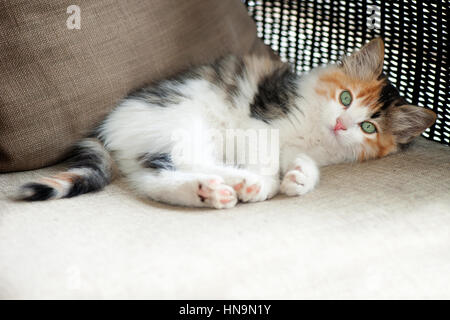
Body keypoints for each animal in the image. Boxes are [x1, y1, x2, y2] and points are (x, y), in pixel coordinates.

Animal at [16, 38, 436, 208]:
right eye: (345, 98)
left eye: (368, 128)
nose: (340, 124)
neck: (314, 130)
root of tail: (107, 128)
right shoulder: (260, 122)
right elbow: (266, 157)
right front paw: (265, 183)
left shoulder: (304, 148)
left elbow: (304, 163)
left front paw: (299, 178)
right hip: (187, 121)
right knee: (189, 160)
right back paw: (238, 181)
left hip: (155, 150)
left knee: (157, 180)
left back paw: (208, 191)